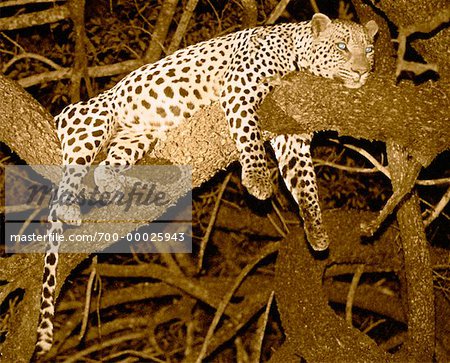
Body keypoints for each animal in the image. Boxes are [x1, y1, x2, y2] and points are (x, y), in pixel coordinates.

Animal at [35, 14, 378, 358]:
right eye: (341, 46)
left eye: (369, 50)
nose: (363, 71)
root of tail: (63, 114)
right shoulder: (240, 84)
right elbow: (249, 132)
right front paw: (257, 177)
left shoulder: (292, 135)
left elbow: (305, 184)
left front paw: (317, 232)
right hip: (92, 123)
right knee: (69, 180)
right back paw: (72, 206)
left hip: (135, 137)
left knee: (105, 171)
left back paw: (142, 185)